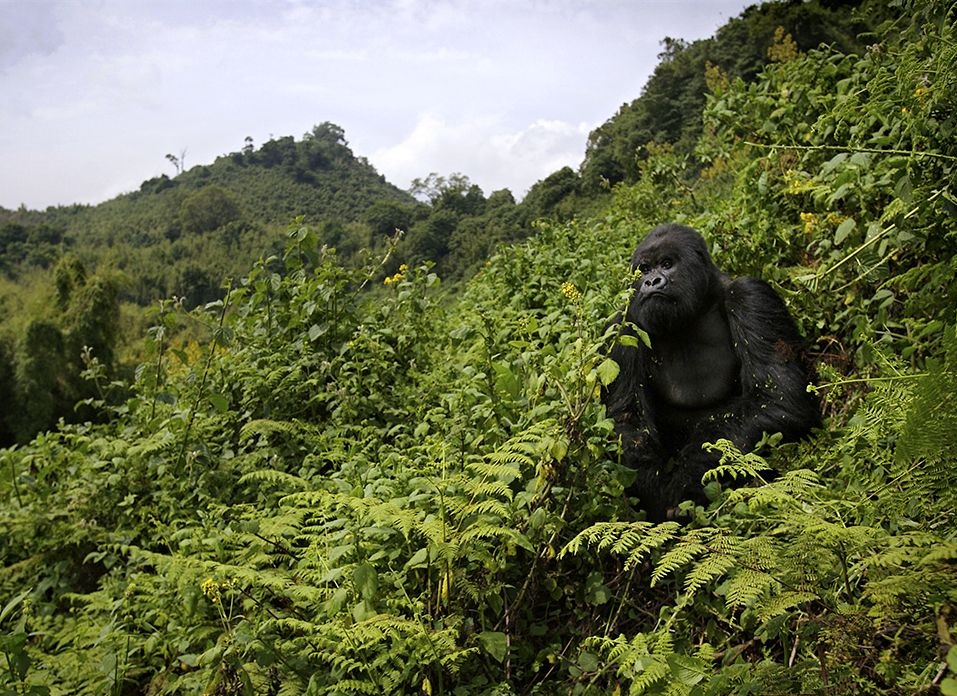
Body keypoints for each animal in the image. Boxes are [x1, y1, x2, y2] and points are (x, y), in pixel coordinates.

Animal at [604, 224, 816, 520]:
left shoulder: (751, 296)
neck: (699, 306)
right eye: (644, 269)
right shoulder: (624, 327)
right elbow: (627, 421)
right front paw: (657, 497)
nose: (651, 282)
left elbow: (778, 399)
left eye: (667, 264)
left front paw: (681, 488)